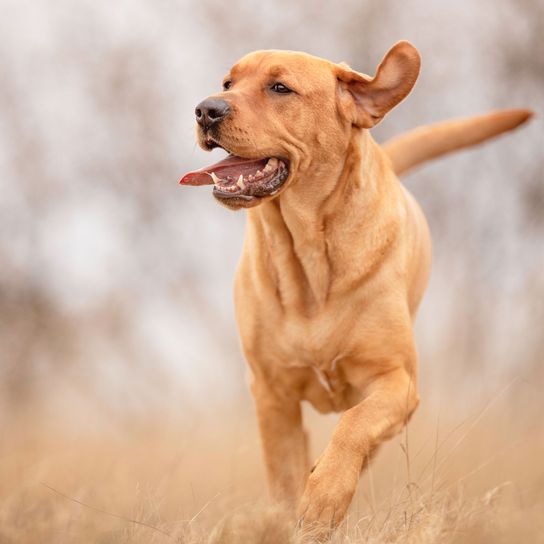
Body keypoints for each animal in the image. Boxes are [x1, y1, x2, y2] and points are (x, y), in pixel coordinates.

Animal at [180, 42, 532, 532]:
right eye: (228, 83)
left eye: (279, 87)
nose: (205, 109)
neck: (308, 258)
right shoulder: (271, 392)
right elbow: (283, 473)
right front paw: (293, 514)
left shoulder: (396, 380)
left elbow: (355, 425)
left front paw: (324, 498)